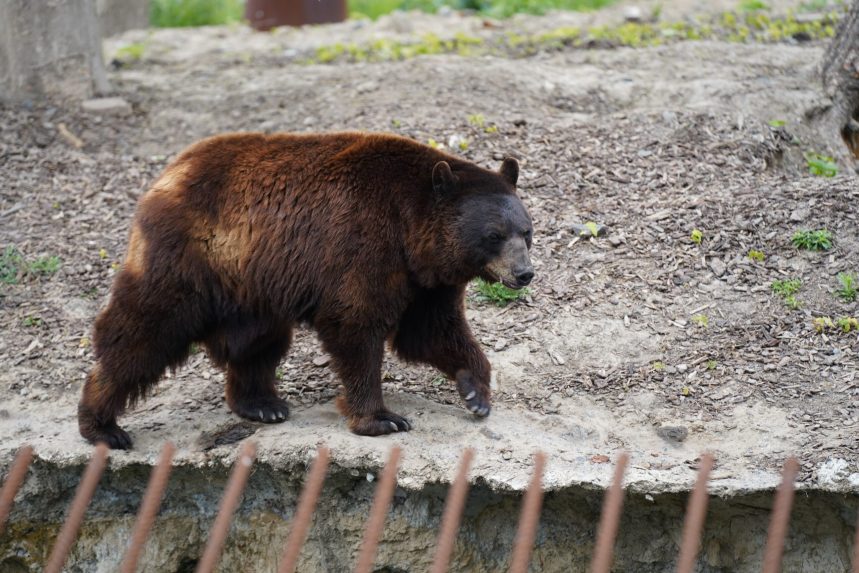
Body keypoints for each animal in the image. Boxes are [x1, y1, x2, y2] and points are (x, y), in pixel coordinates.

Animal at [78, 131, 534, 449]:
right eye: (494, 235)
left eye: (526, 231)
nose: (524, 273)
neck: (412, 233)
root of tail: (168, 172)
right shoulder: (362, 246)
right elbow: (356, 326)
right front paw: (382, 418)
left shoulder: (426, 282)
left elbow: (432, 332)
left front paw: (476, 391)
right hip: (189, 259)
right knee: (145, 329)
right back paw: (102, 424)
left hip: (251, 287)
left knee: (256, 343)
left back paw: (262, 404)